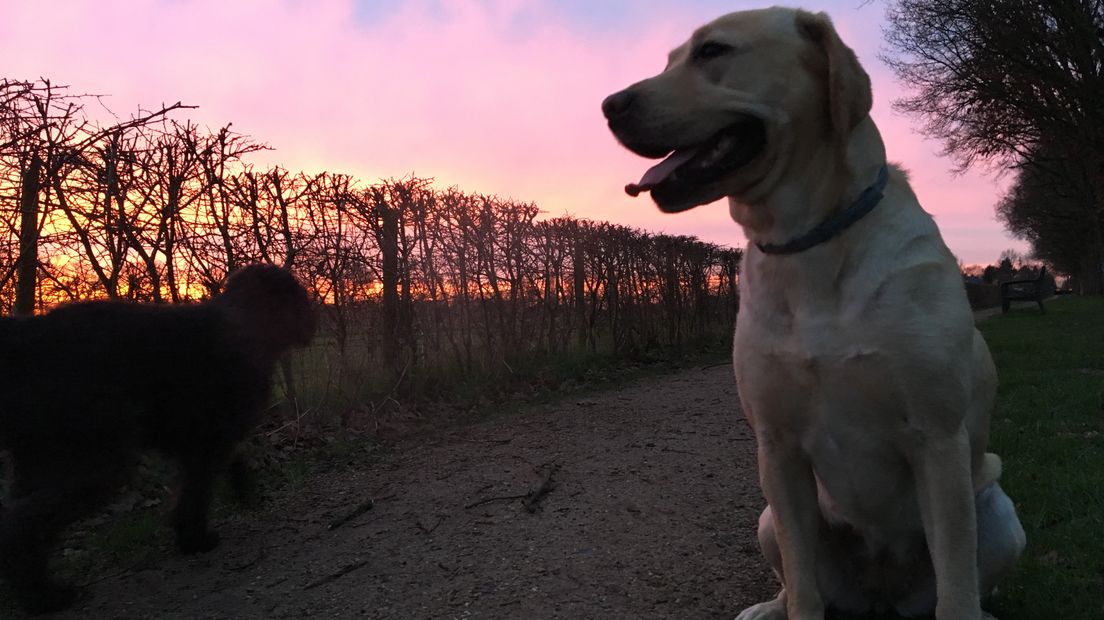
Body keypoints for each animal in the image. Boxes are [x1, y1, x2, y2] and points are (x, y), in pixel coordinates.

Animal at [0, 262, 315, 608]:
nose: (314, 319)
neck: (247, 322)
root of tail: (31, 335)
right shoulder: (208, 443)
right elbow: (199, 491)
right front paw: (196, 539)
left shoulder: (196, 442)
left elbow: (211, 478)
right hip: (94, 460)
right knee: (20, 524)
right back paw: (45, 596)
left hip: (40, 459)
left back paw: (36, 590)